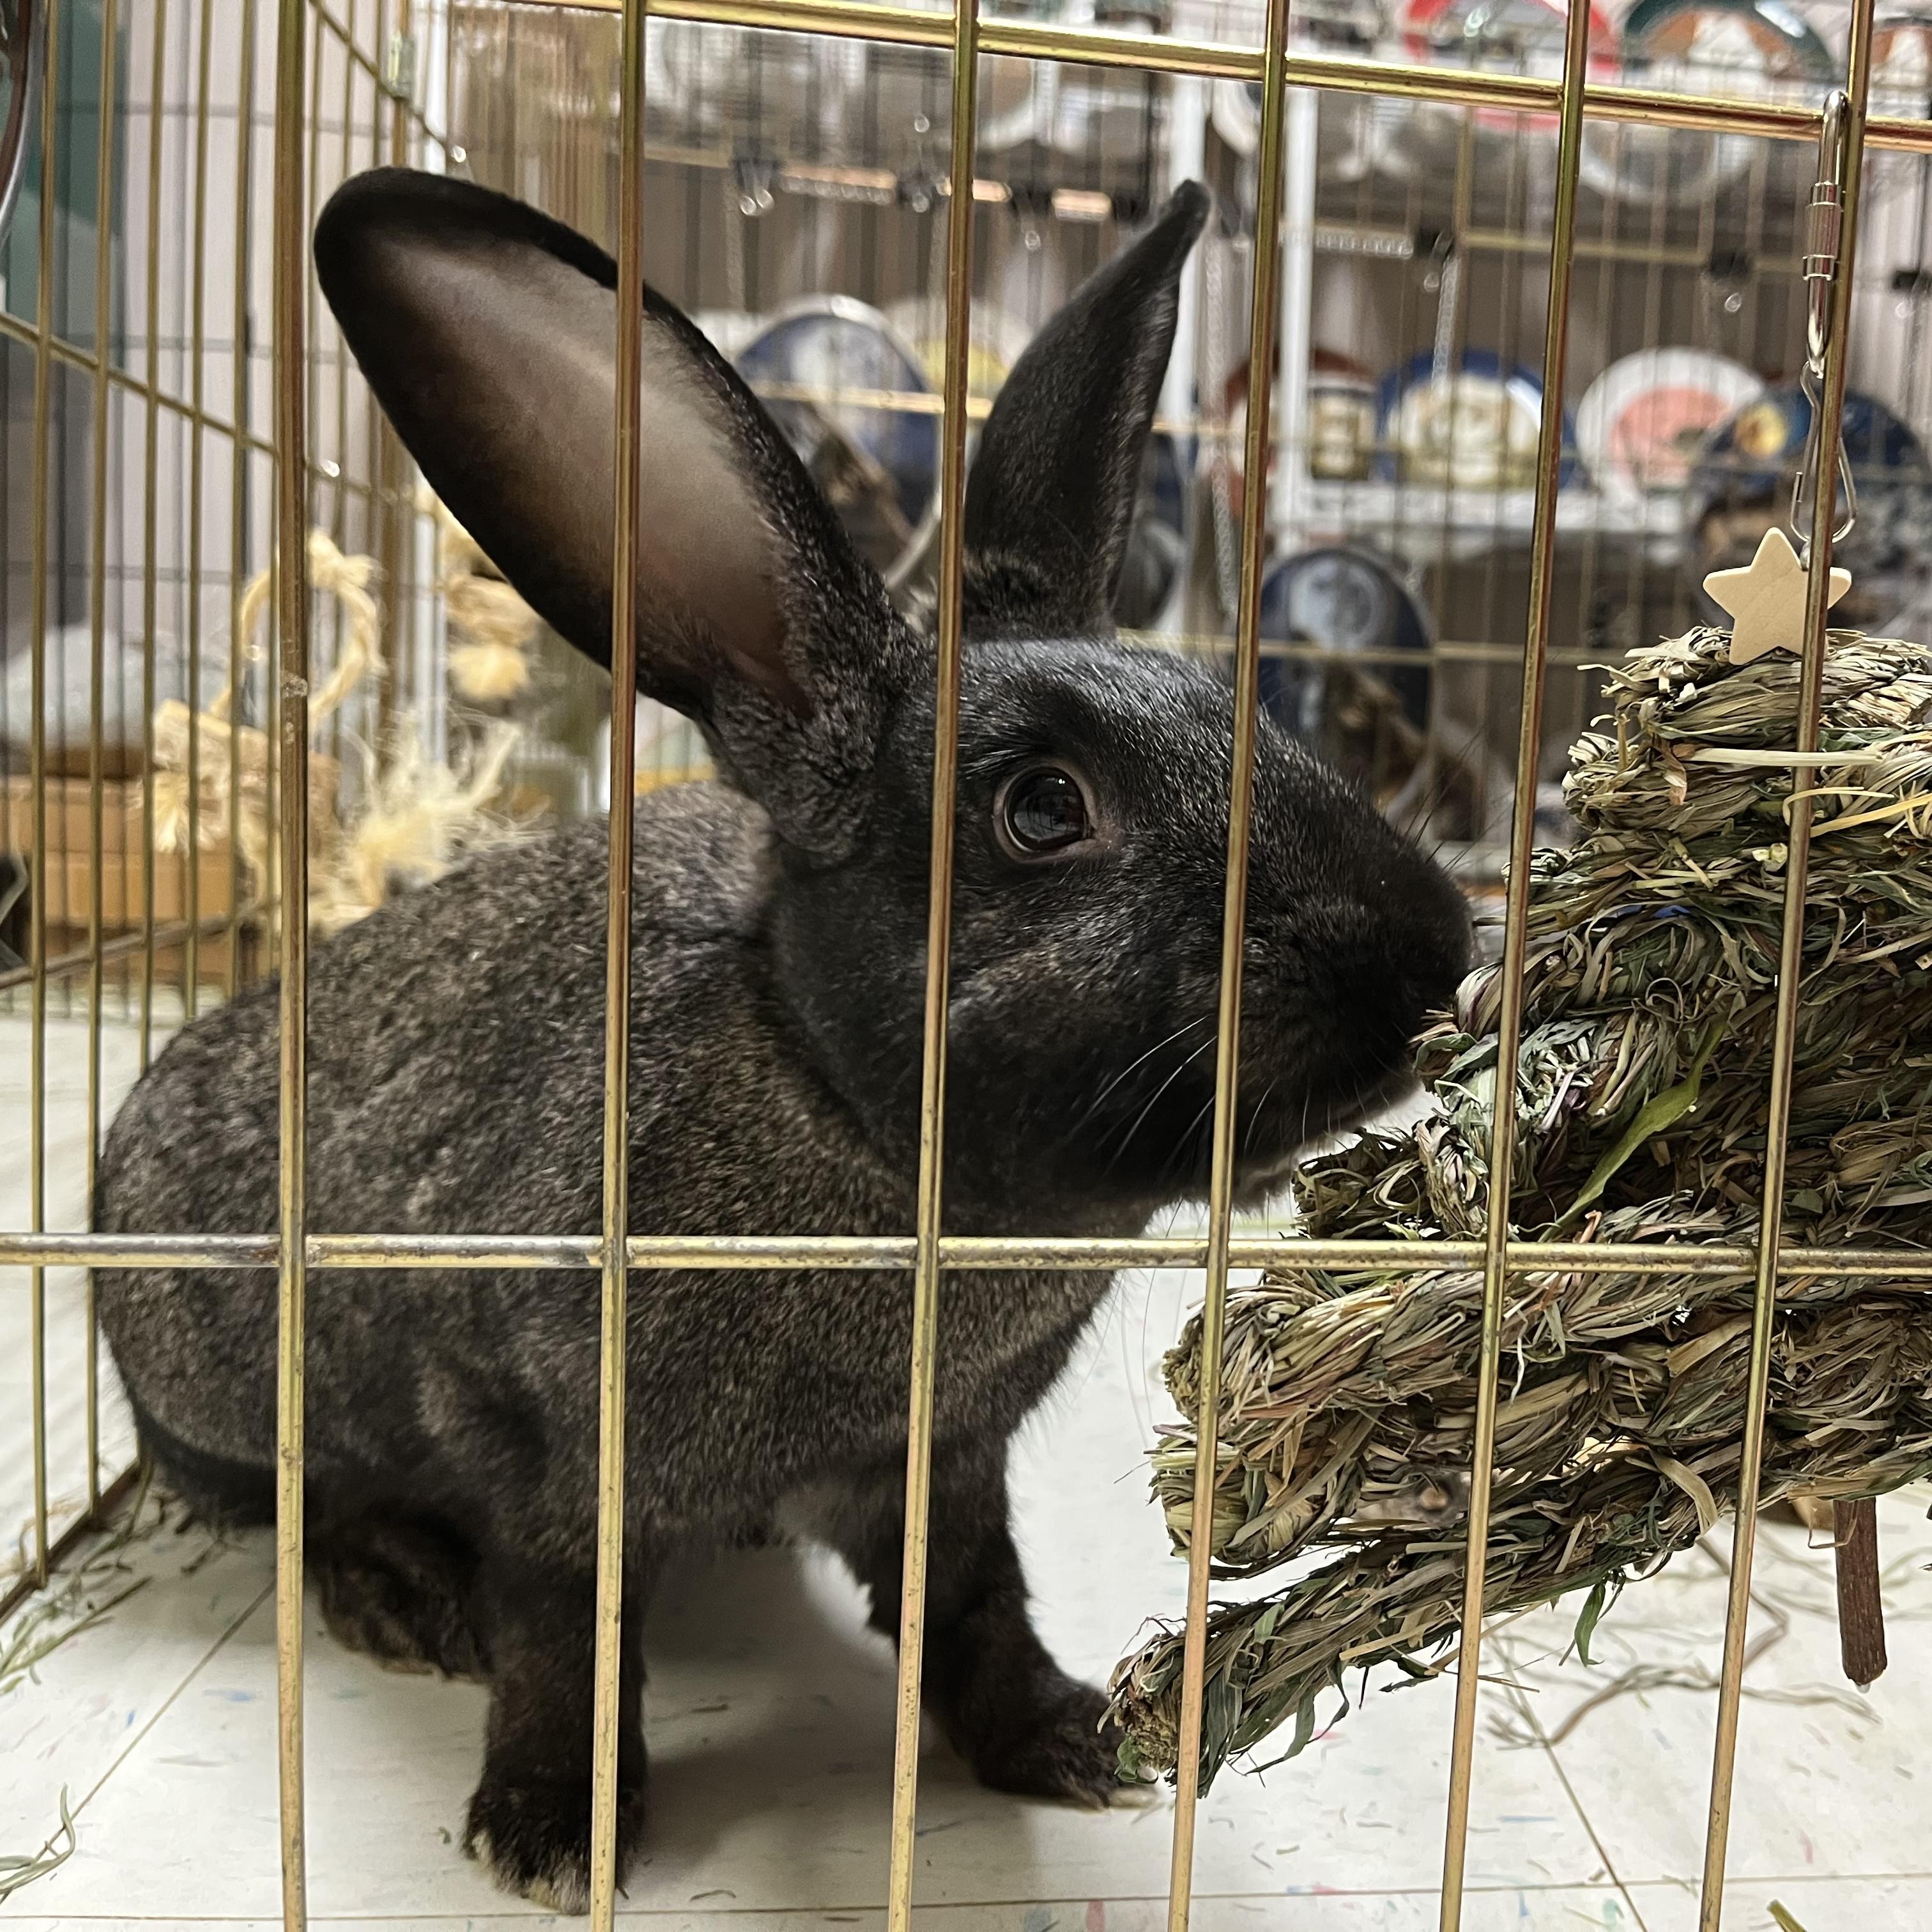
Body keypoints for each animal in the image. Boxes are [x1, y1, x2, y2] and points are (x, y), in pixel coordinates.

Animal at [93, 167, 1471, 1913]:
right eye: (1041, 809)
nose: (1434, 956)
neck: (856, 1126)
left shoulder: (948, 1463)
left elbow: (971, 1601)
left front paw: (1069, 1741)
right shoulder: (537, 1440)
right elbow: (565, 1633)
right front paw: (554, 1833)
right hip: (221, 1371)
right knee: (279, 1500)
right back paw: (401, 1594)